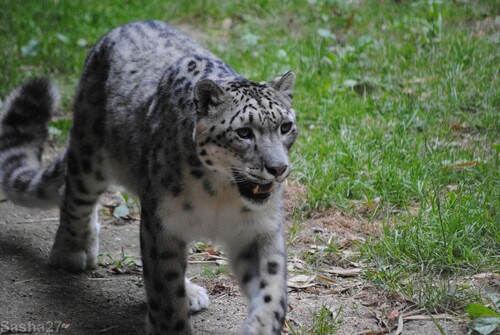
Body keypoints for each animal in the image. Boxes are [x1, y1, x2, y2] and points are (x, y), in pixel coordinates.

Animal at [0, 21, 296, 335]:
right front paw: (173, 326)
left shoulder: (259, 230)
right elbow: (165, 290)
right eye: (244, 132)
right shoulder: (162, 225)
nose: (278, 168)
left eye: (286, 126)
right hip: (89, 153)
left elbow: (272, 290)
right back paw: (72, 250)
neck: (220, 194)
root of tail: (127, 24)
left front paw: (260, 327)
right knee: (75, 195)